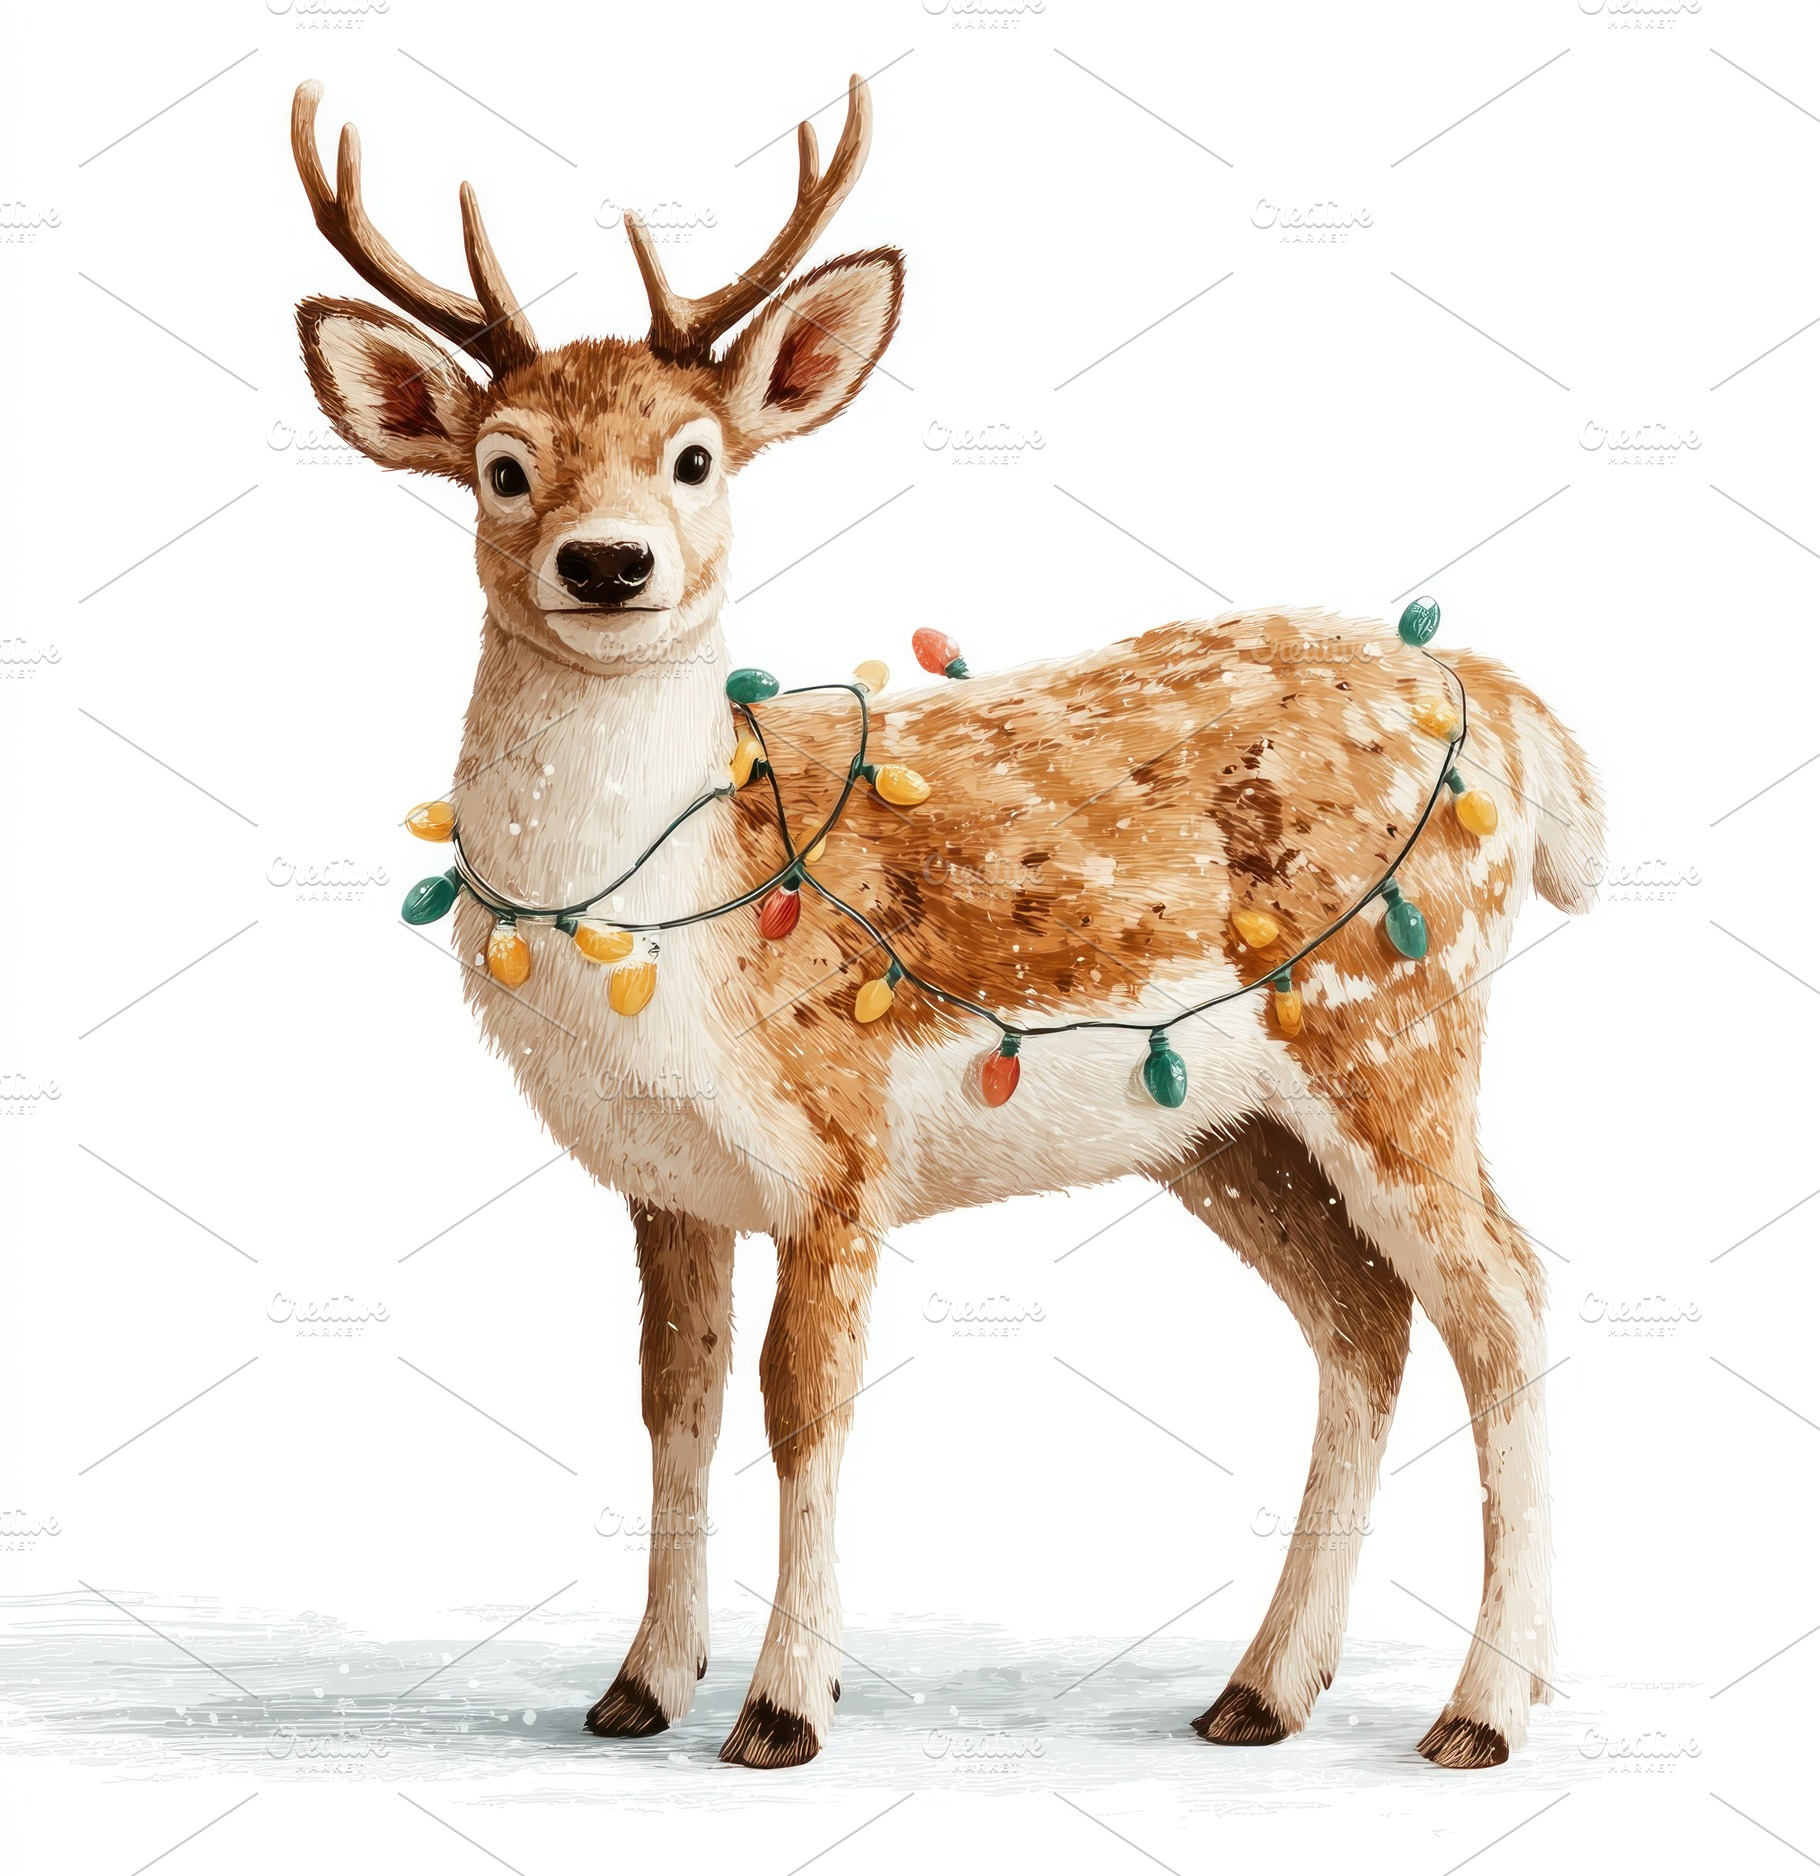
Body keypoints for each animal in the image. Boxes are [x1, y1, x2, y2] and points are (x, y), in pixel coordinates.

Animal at [289, 74, 1604, 1770]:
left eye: (698, 457)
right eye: (505, 467)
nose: (609, 560)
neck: (679, 941)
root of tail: (1497, 704)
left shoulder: (841, 1148)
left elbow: (804, 1404)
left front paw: (784, 1708)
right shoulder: (667, 1182)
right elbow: (673, 1401)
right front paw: (638, 1689)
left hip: (1402, 1024)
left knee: (1503, 1292)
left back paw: (1482, 1713)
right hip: (1230, 1125)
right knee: (1365, 1319)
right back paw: (1257, 1693)